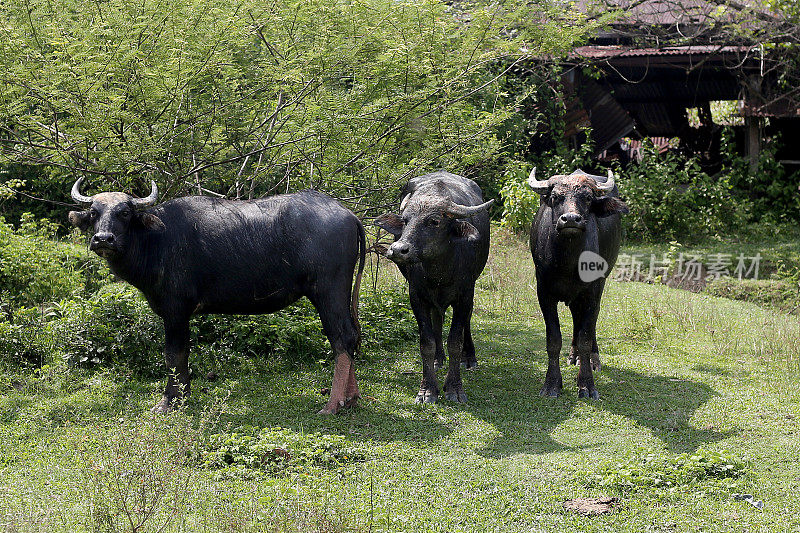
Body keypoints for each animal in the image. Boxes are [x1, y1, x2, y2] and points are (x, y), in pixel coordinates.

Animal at [67, 180, 364, 416]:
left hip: (329, 291)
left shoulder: (175, 311)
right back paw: (350, 399)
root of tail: (347, 214)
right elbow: (182, 355)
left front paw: (170, 401)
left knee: (342, 337)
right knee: (351, 337)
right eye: (94, 212)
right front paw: (183, 396)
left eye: (125, 212)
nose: (103, 239)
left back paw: (333, 404)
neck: (156, 241)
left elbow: (174, 354)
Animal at [376, 171, 494, 404]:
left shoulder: (465, 295)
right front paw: (428, 389)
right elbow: (427, 342)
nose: (398, 249)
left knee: (466, 322)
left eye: (434, 221)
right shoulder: (417, 297)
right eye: (405, 220)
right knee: (437, 318)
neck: (440, 271)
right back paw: (439, 358)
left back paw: (470, 357)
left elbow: (455, 340)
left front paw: (454, 388)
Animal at [528, 168, 628, 396]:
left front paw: (586, 384)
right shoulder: (544, 293)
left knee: (589, 325)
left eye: (588, 198)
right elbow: (553, 339)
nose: (571, 219)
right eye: (556, 197)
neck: (568, 262)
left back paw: (593, 360)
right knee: (576, 317)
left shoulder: (592, 294)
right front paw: (551, 383)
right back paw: (573, 356)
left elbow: (585, 337)